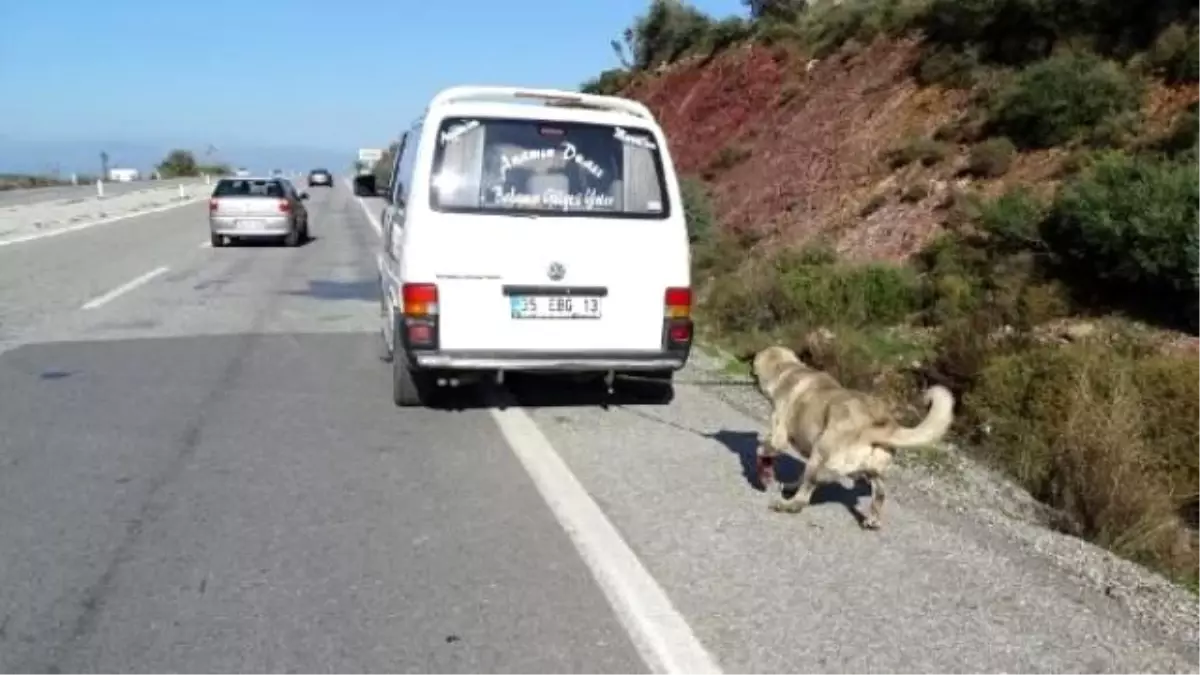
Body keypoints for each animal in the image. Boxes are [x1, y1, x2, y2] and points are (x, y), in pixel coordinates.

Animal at [748, 343, 955, 528]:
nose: (750, 371)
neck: (788, 369)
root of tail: (875, 427)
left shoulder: (779, 437)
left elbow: (763, 449)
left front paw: (764, 471)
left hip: (820, 455)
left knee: (808, 490)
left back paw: (789, 503)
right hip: (874, 471)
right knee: (879, 493)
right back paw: (873, 519)